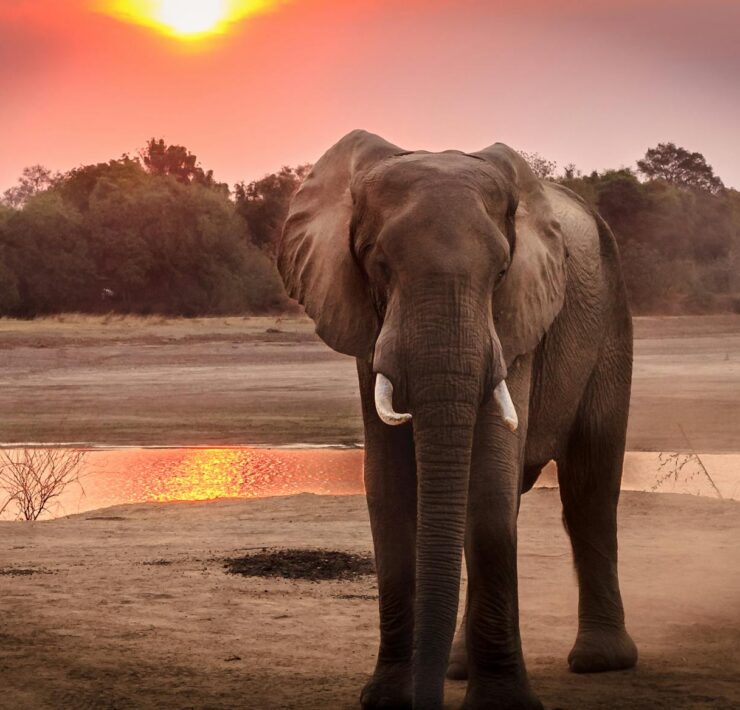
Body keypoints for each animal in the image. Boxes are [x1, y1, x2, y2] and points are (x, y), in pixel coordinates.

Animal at [277, 130, 637, 709]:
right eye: (378, 264)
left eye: (501, 272)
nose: (424, 699)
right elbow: (389, 487)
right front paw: (388, 699)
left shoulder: (516, 321)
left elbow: (488, 484)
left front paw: (502, 705)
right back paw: (459, 667)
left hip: (611, 319)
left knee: (590, 488)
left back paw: (599, 662)